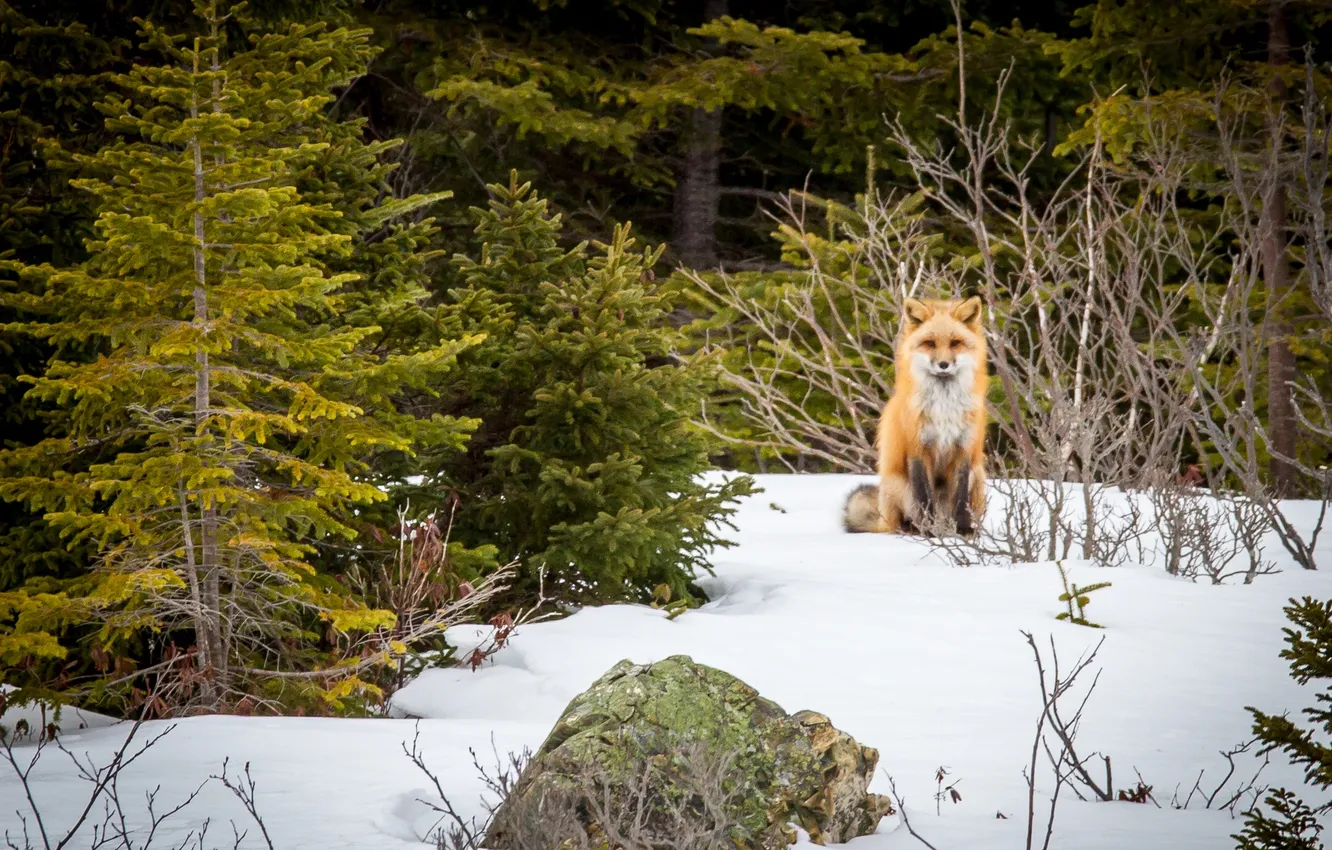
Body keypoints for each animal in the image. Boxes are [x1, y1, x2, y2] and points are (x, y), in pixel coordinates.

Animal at [843, 296, 988, 536]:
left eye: (955, 343)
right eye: (930, 343)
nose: (943, 365)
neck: (944, 407)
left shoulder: (964, 448)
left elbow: (960, 500)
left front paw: (963, 530)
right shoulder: (917, 448)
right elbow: (924, 496)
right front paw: (929, 533)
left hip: (978, 476)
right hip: (897, 484)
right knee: (899, 523)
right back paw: (913, 528)